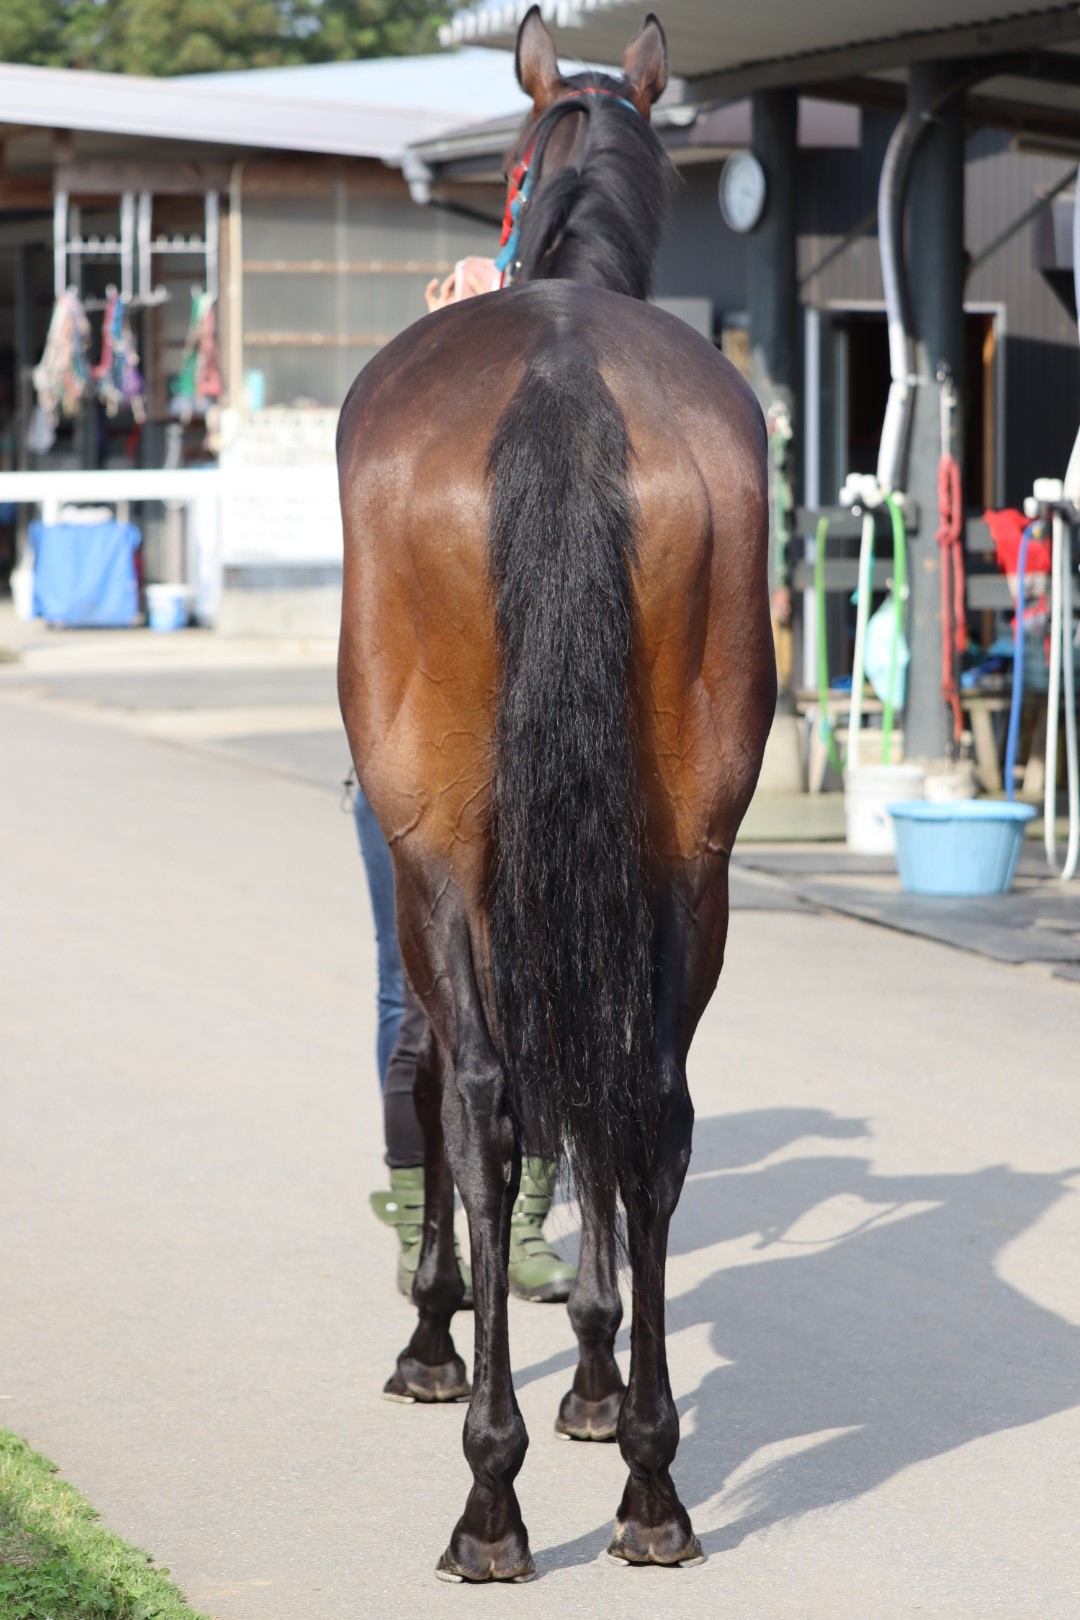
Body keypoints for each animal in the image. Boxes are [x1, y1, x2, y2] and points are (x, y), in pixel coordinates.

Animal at [337, 6, 776, 1582]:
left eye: (512, 164)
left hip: (445, 854)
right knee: (646, 1104)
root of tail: (566, 378)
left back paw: (490, 1498)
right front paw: (593, 1374)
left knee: (478, 1101)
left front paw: (436, 1343)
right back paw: (650, 1481)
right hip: (690, 859)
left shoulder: (423, 867)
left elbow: (441, 1083)